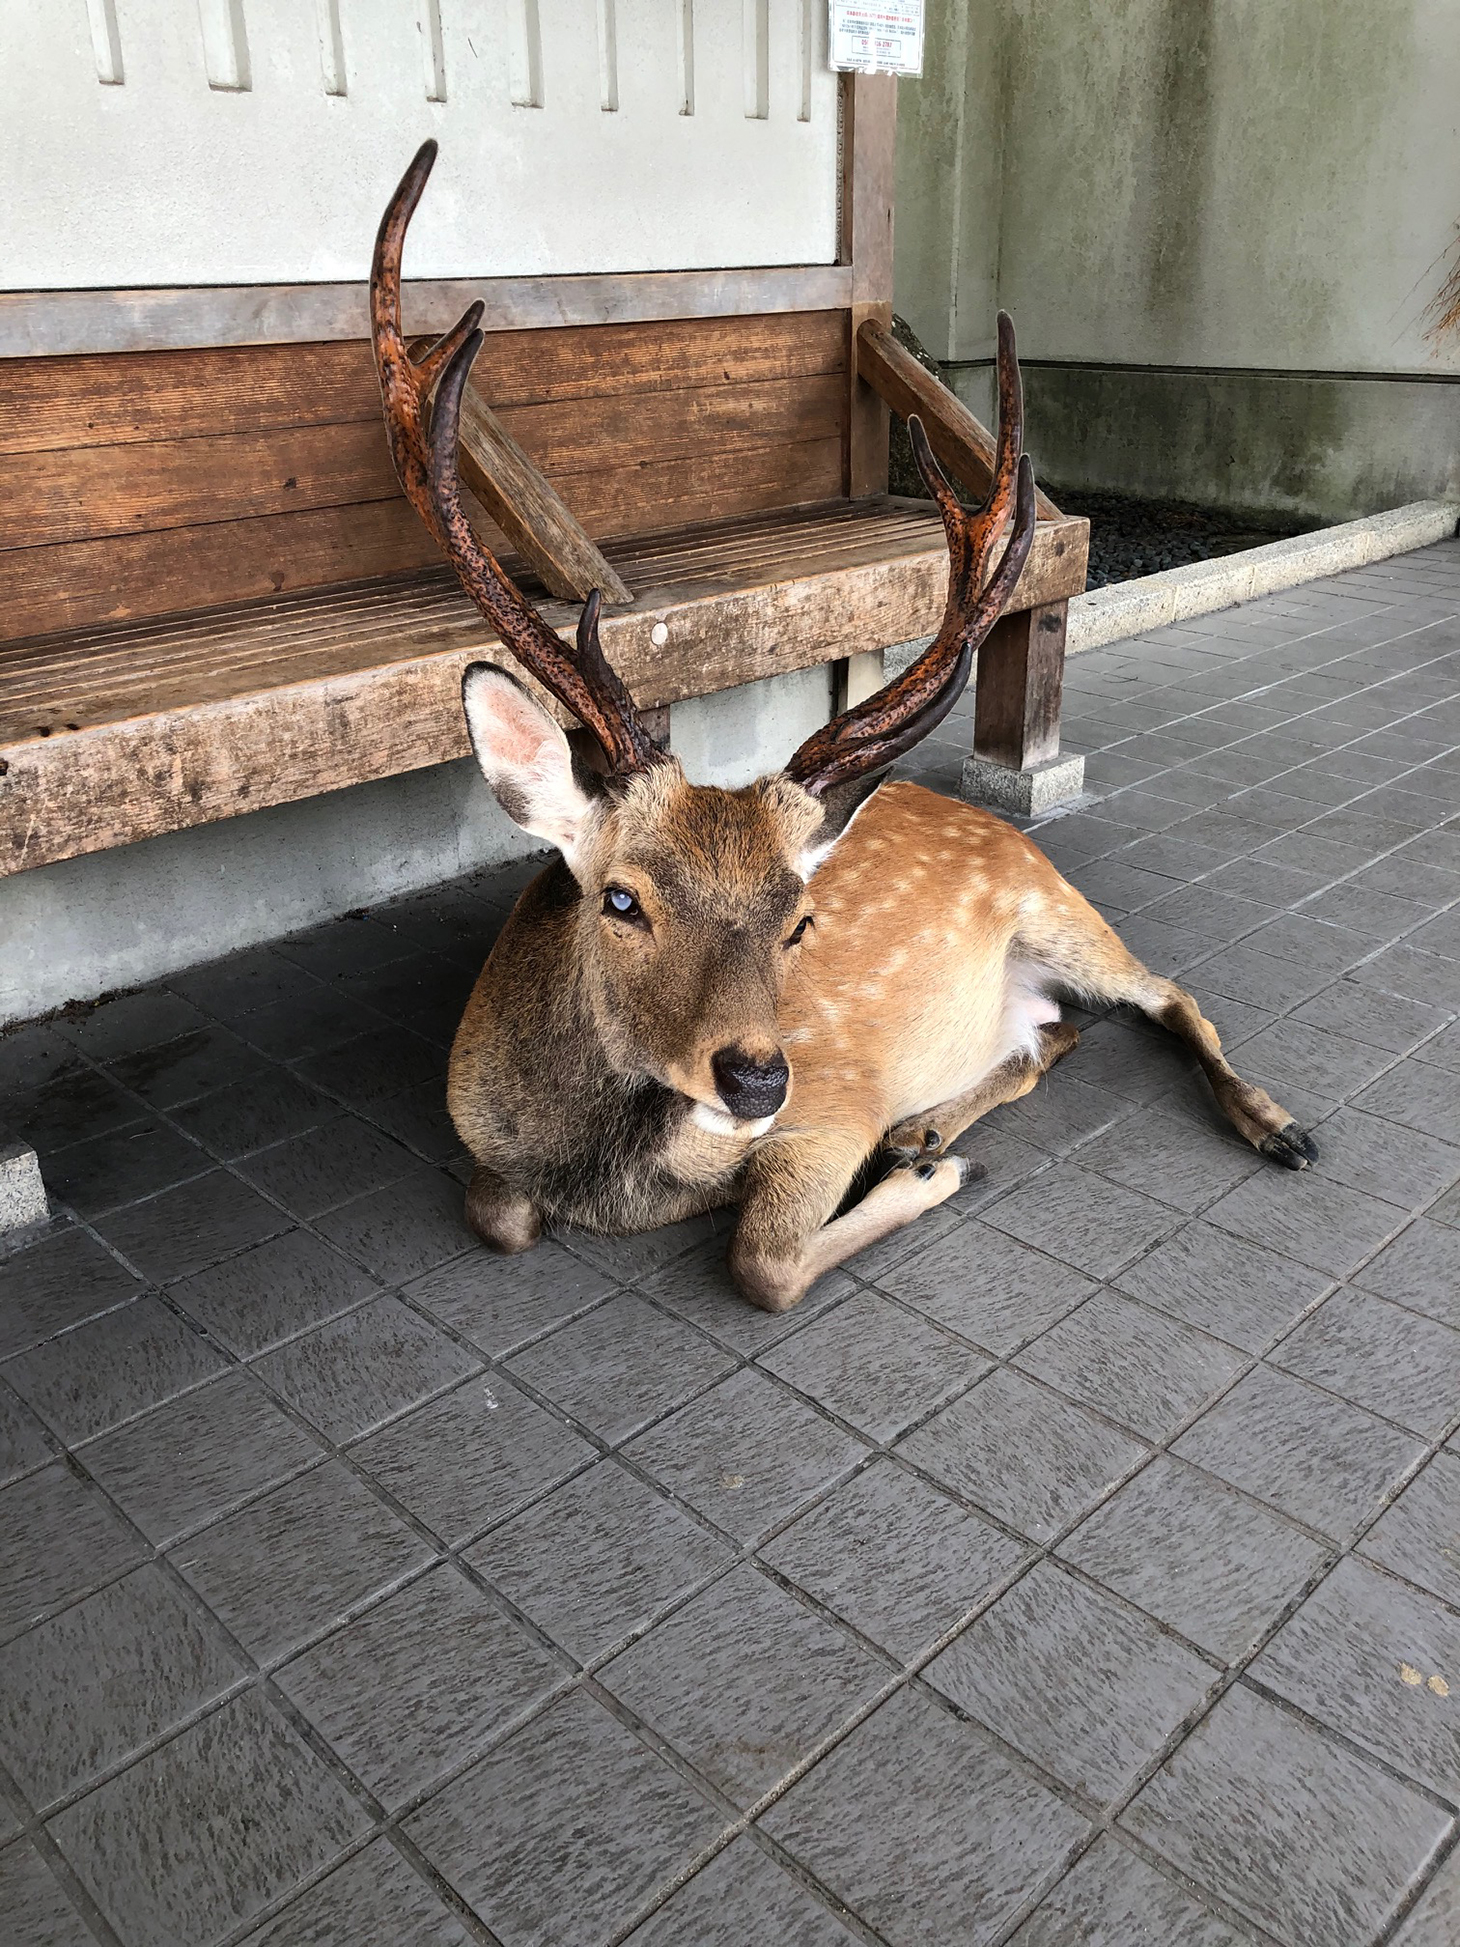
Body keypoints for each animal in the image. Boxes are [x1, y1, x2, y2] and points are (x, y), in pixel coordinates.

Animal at [371, 144, 1323, 1316]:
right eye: (620, 899)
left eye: (800, 920)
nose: (755, 1075)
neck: (605, 1178)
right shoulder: (484, 1148)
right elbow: (497, 1215)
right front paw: (922, 1155)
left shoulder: (830, 1106)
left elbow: (763, 1260)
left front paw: (925, 1178)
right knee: (1057, 1029)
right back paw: (932, 1125)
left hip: (1061, 910)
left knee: (1166, 992)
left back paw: (1270, 1127)